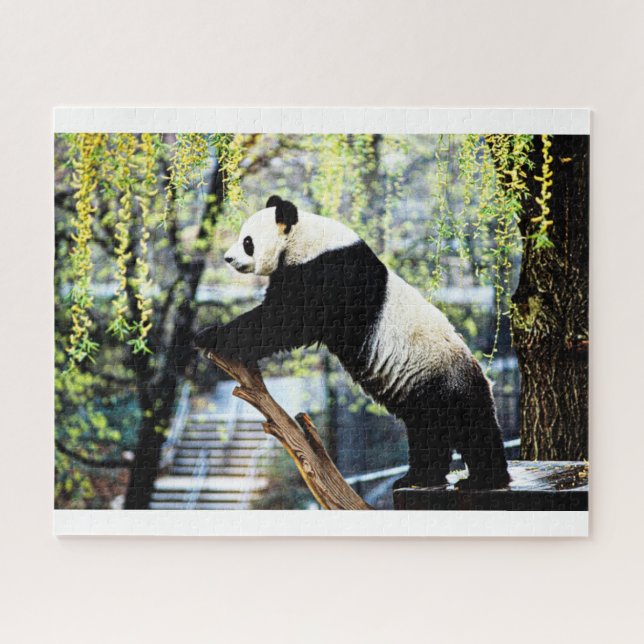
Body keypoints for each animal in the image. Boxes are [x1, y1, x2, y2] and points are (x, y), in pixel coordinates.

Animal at [195, 195, 510, 490]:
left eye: (247, 241)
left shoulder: (329, 274)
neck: (306, 239)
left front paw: (210, 335)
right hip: (423, 390)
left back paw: (484, 480)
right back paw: (417, 478)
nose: (228, 258)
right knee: (427, 431)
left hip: (443, 379)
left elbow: (286, 320)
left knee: (470, 426)